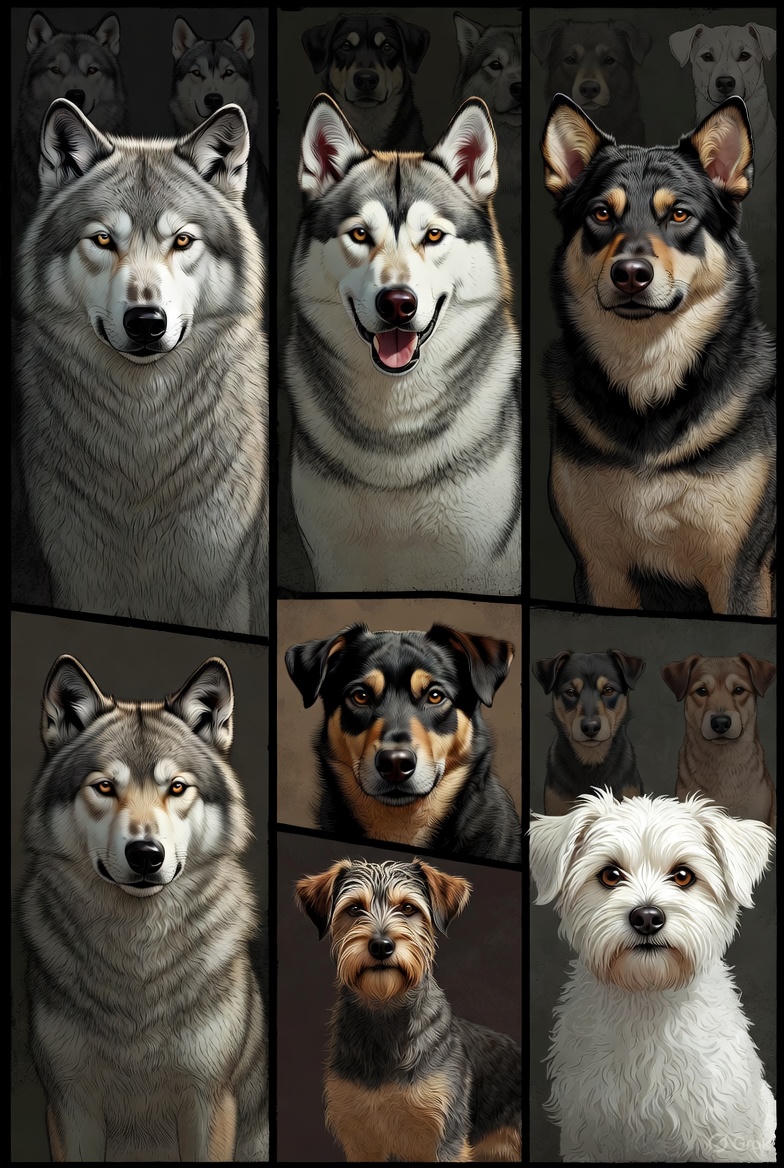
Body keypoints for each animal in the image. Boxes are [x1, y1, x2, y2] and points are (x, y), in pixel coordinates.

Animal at [19, 654, 268, 1160]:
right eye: (103, 787)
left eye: (176, 787)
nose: (146, 854)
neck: (137, 960)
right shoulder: (70, 1104)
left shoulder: (209, 1102)